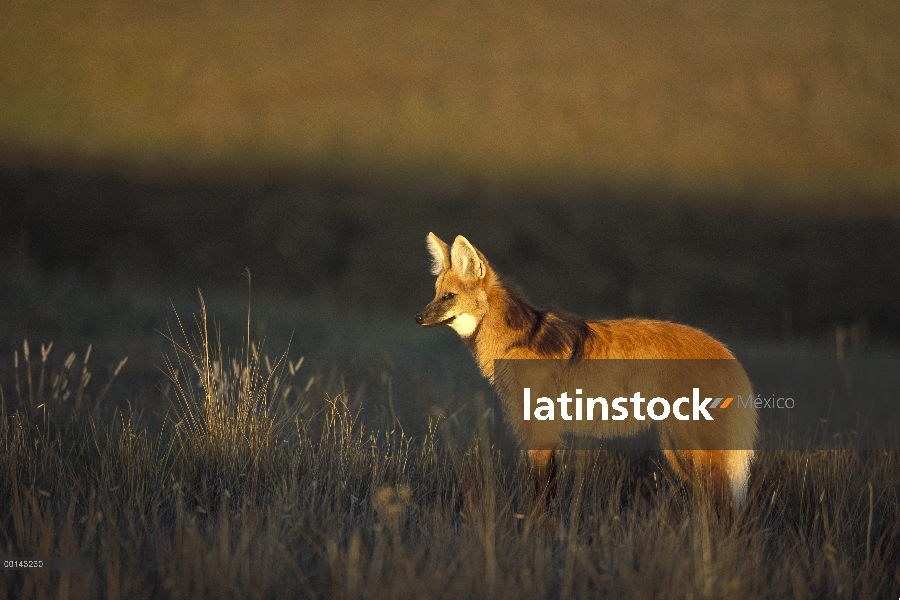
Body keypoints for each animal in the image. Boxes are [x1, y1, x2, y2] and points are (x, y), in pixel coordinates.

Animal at [416, 232, 760, 508]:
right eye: (435, 294)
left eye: (449, 297)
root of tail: (724, 350)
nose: (418, 318)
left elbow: (541, 502)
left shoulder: (542, 435)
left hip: (692, 447)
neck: (515, 342)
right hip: (675, 449)